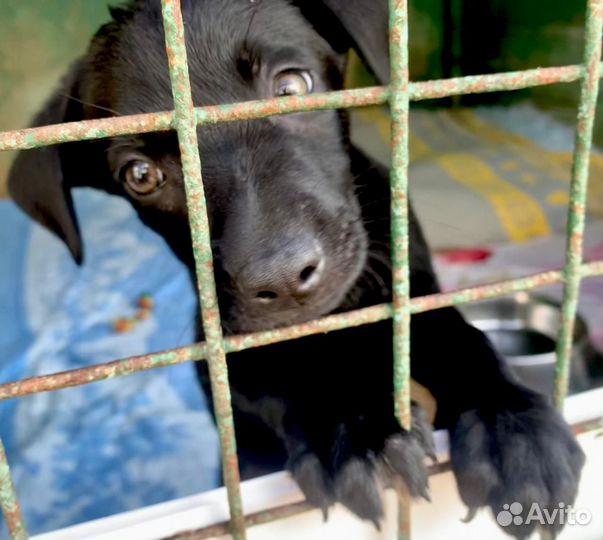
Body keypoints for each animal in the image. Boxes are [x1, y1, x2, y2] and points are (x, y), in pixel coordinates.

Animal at [8, 2, 584, 536]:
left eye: (290, 87)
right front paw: (353, 430)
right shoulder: (223, 349)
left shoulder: (414, 288)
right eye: (141, 175)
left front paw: (511, 424)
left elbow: (461, 336)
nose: (282, 277)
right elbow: (282, 377)